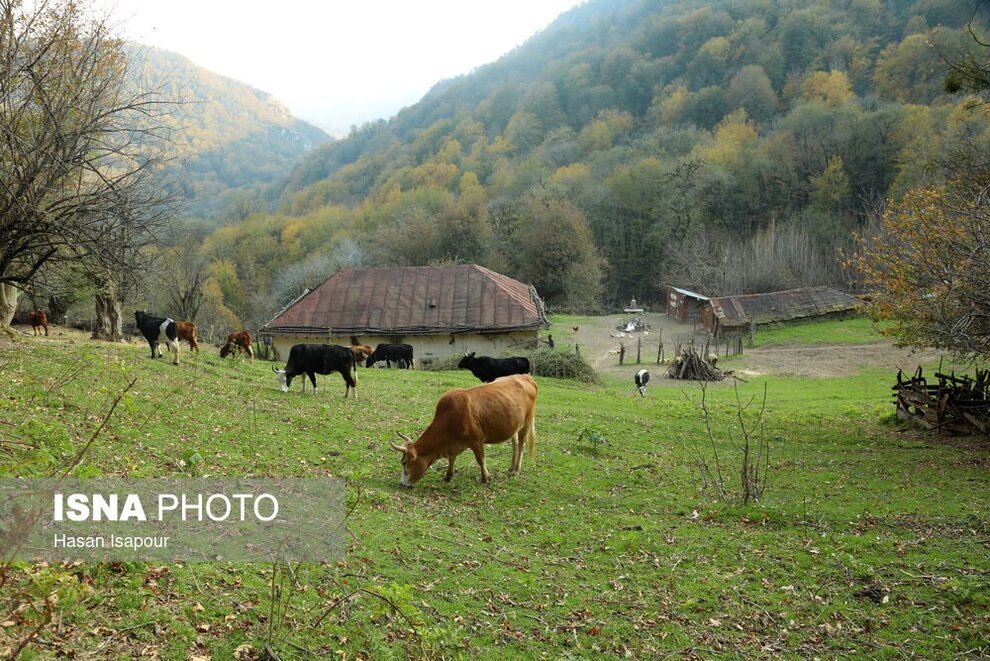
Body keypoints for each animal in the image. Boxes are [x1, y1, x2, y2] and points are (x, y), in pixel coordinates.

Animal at [390, 374, 544, 488]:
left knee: (522, 445)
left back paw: (516, 470)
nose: (402, 483)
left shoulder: (477, 440)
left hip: (527, 421)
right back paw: (511, 467)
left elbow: (481, 460)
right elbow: (452, 459)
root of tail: (526, 377)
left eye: (404, 463)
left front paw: (486, 478)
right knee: (515, 444)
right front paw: (448, 475)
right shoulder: (454, 445)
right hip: (514, 425)